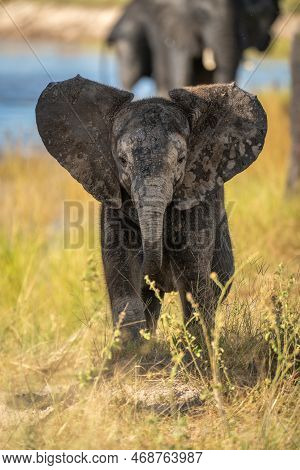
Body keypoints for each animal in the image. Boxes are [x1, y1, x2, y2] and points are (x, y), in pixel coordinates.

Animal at [35, 77, 268, 340]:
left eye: (181, 159)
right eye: (122, 160)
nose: (155, 274)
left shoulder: (196, 204)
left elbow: (194, 281)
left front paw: (197, 347)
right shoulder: (113, 206)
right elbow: (124, 277)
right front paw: (133, 348)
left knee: (218, 285)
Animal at [107, 0, 278, 94]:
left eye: (246, 15)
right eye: (201, 14)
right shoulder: (176, 28)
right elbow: (182, 75)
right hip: (129, 39)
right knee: (131, 75)